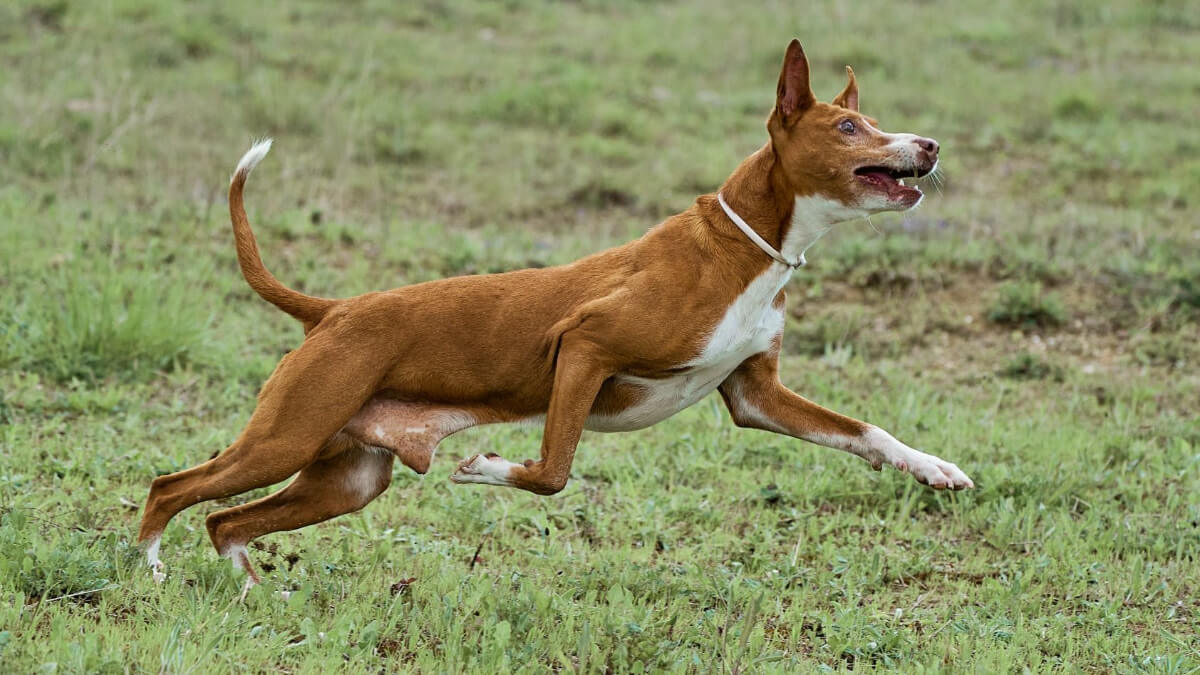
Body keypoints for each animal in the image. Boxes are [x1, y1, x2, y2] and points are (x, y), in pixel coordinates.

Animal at [136, 39, 974, 590]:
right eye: (848, 128)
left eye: (871, 122)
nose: (930, 143)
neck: (746, 248)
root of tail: (334, 309)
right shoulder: (584, 345)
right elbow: (551, 472)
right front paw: (481, 465)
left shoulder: (755, 395)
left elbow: (865, 431)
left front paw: (935, 466)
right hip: (285, 437)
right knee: (174, 487)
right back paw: (147, 567)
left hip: (345, 479)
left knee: (224, 520)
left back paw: (249, 589)